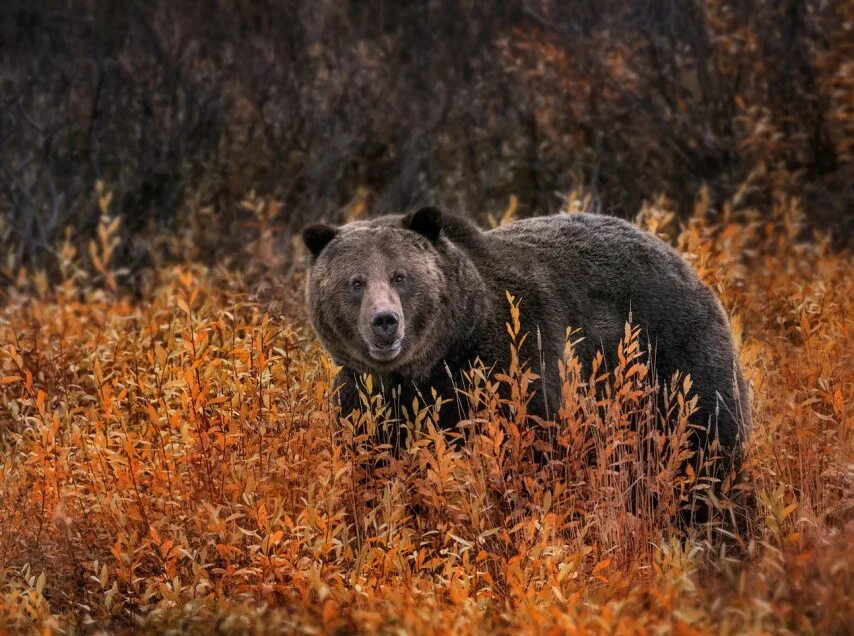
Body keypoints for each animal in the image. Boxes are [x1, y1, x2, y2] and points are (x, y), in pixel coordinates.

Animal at [300, 209, 748, 476]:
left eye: (400, 276)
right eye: (355, 281)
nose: (385, 322)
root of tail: (684, 261)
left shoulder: (514, 364)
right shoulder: (366, 397)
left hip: (673, 361)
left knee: (708, 447)